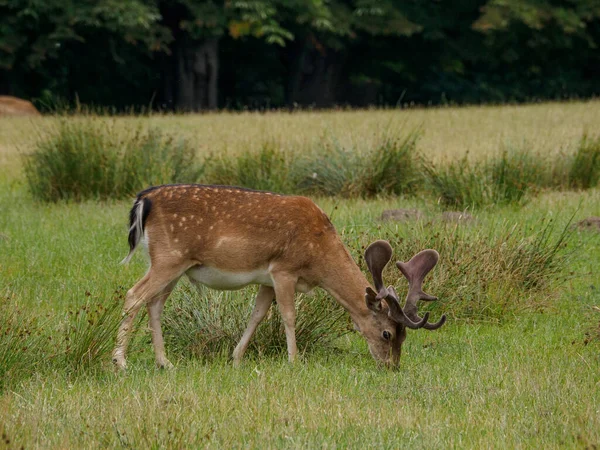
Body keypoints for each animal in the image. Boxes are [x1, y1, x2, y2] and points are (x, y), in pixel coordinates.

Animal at [112, 184, 442, 370]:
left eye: (403, 336)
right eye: (387, 333)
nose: (392, 366)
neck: (318, 258)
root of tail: (143, 200)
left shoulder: (266, 279)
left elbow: (257, 315)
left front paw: (236, 358)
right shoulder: (284, 269)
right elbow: (288, 315)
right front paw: (294, 361)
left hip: (174, 264)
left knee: (154, 303)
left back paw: (164, 362)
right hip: (169, 257)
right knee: (133, 295)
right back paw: (120, 361)